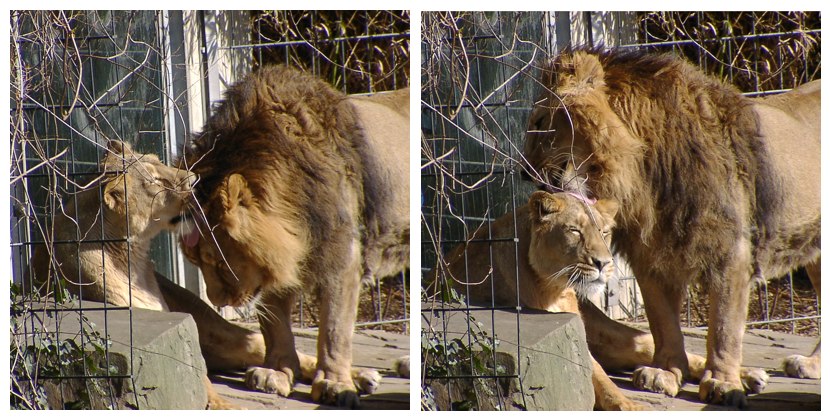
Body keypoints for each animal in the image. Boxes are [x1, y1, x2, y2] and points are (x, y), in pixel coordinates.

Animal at [181, 65, 410, 406]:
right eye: (195, 262)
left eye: (218, 262)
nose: (215, 300)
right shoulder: (274, 266)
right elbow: (274, 324)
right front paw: (275, 373)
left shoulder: (342, 258)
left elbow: (334, 329)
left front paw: (334, 384)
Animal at [524, 47, 824, 408]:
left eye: (540, 122)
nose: (524, 173)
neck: (644, 173)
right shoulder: (649, 254)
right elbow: (662, 320)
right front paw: (664, 373)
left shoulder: (731, 253)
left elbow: (724, 327)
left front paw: (722, 383)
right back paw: (810, 365)